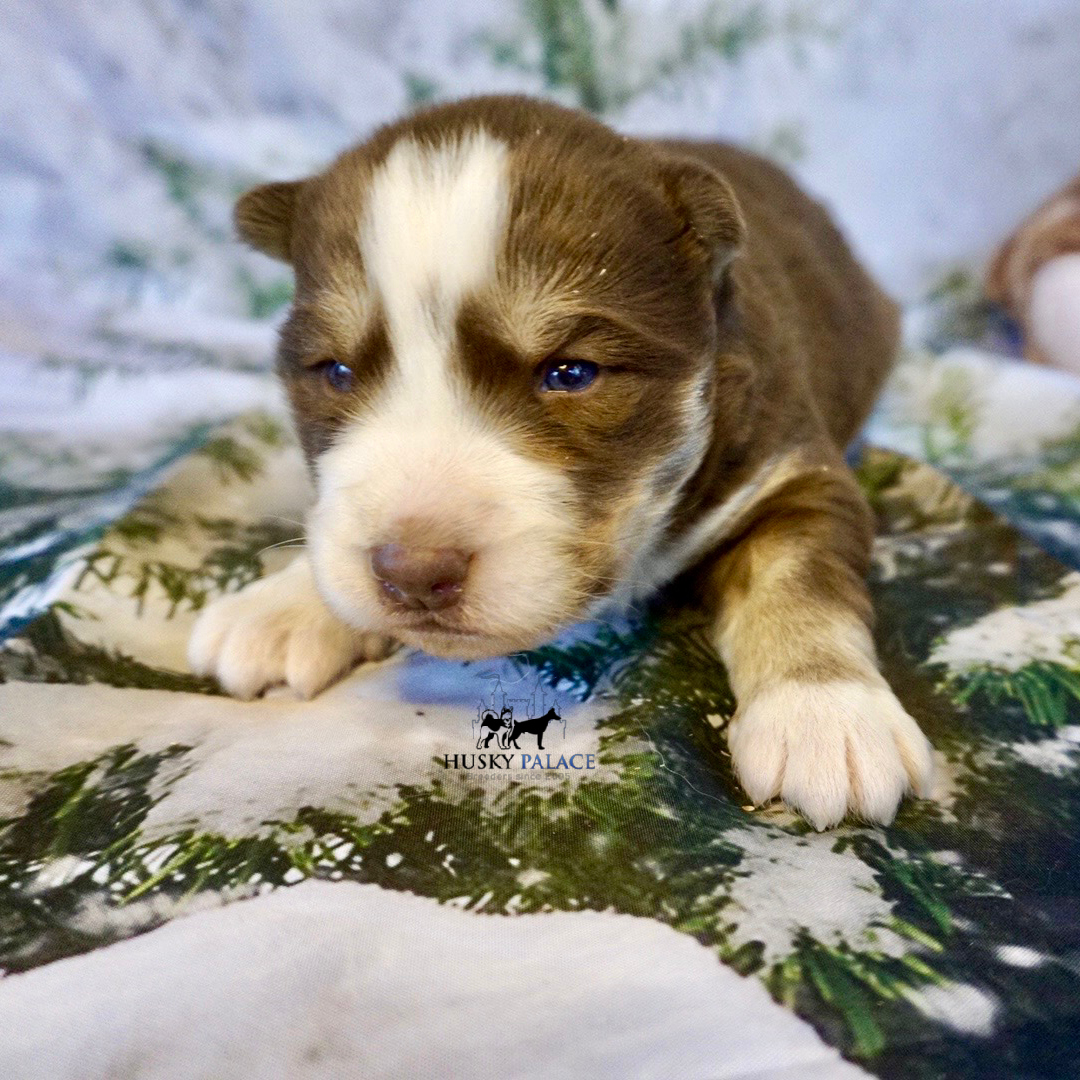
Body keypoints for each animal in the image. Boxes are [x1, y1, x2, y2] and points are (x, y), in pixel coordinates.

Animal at [192, 97, 937, 829]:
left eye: (571, 373)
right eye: (336, 373)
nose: (412, 574)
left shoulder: (791, 470)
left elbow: (799, 575)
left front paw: (828, 716)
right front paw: (281, 605)